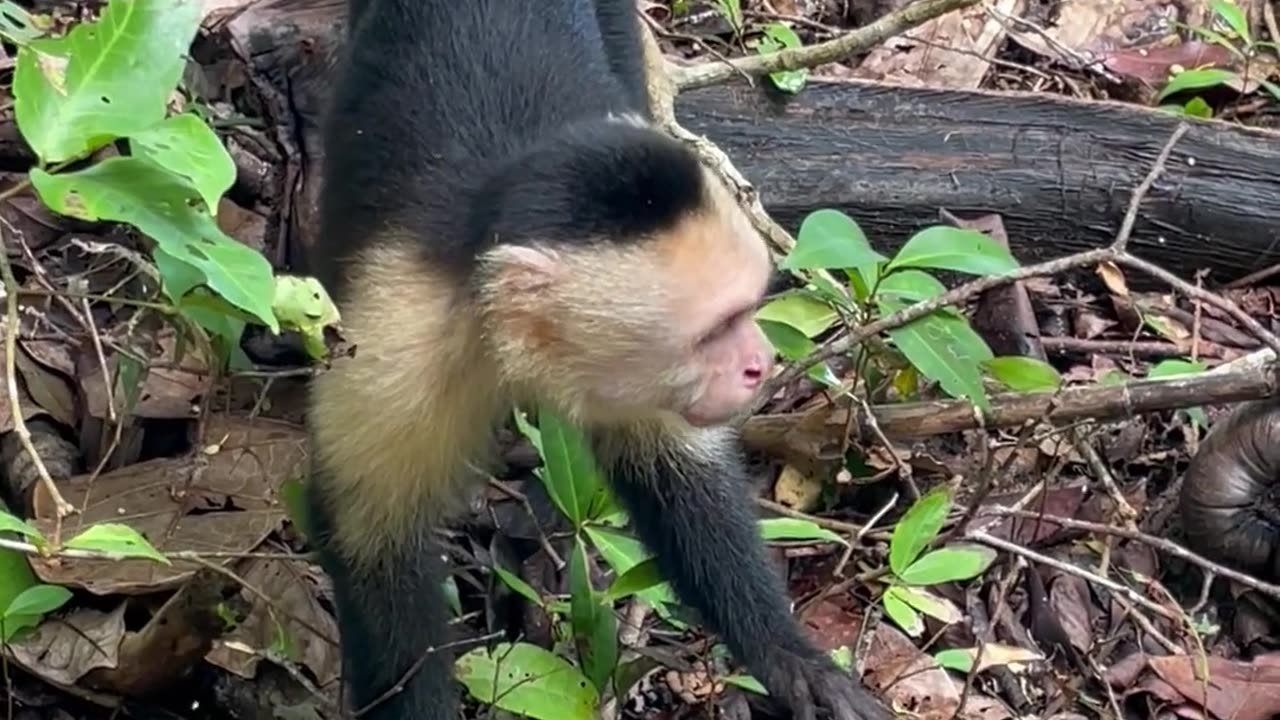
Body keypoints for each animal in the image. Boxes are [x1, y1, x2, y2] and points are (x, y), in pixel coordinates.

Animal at [304, 1, 896, 717]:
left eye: (748, 313)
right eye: (715, 331)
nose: (761, 363)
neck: (501, 329)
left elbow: (676, 473)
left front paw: (788, 658)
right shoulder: (400, 353)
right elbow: (374, 539)